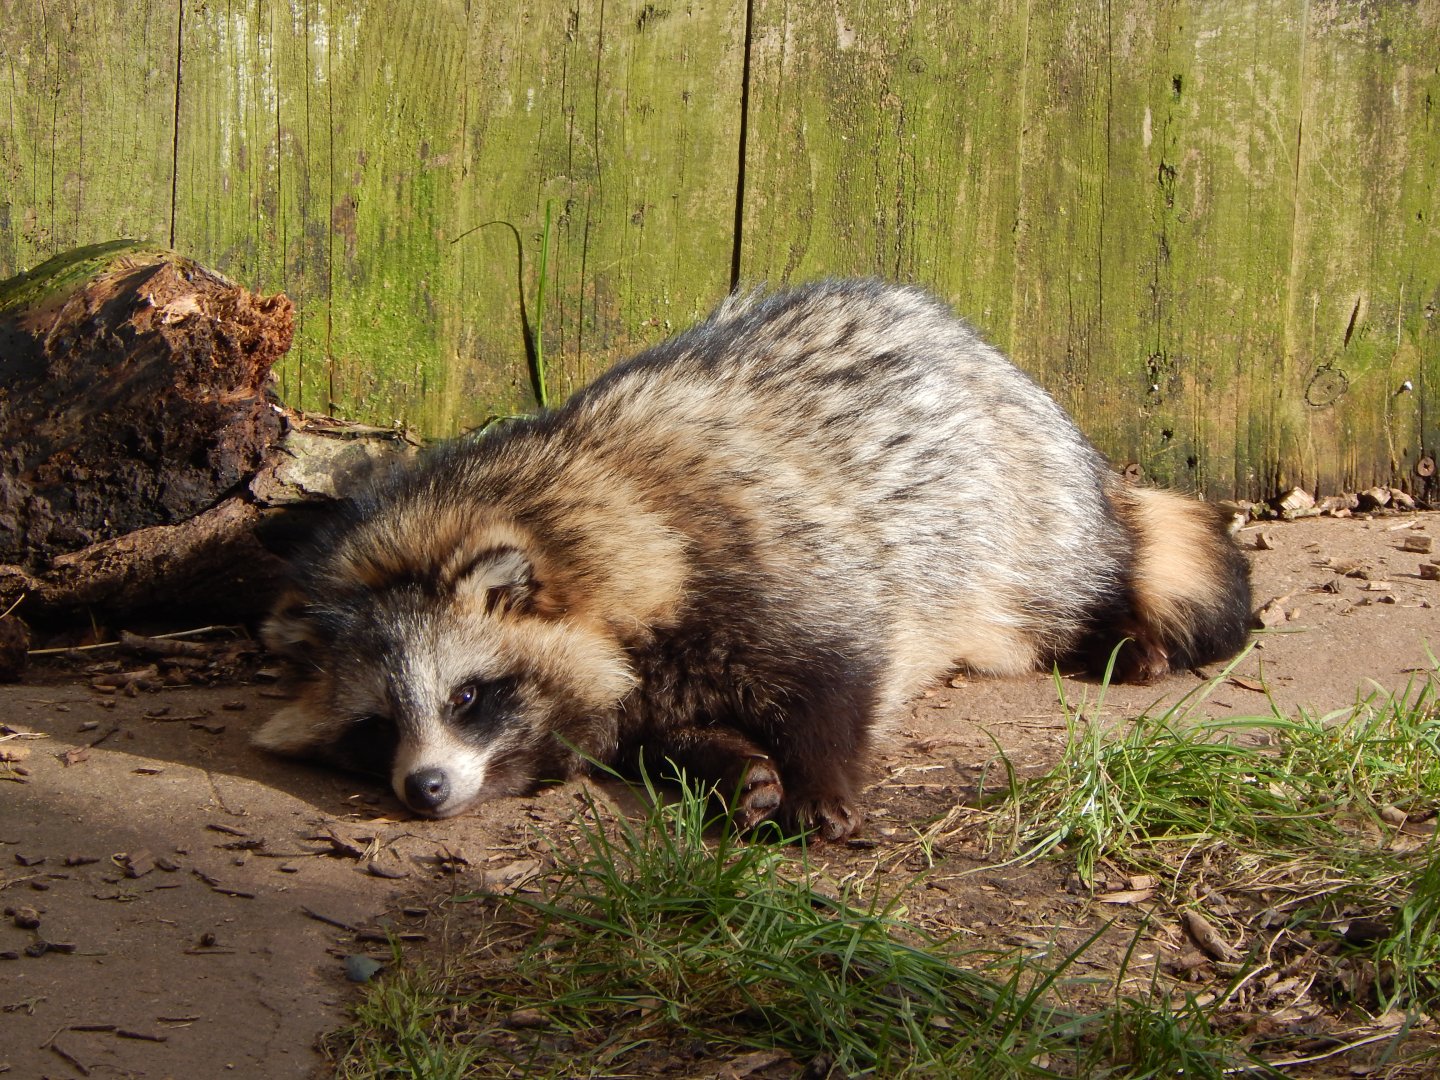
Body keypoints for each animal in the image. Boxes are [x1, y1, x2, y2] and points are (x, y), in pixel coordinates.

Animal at [254, 279, 1252, 839]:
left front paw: (818, 775)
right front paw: (729, 765)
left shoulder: (762, 550)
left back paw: (1119, 621)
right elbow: (662, 729)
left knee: (1071, 578)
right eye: (374, 728)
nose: (422, 789)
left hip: (1024, 512)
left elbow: (837, 666)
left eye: (466, 697)